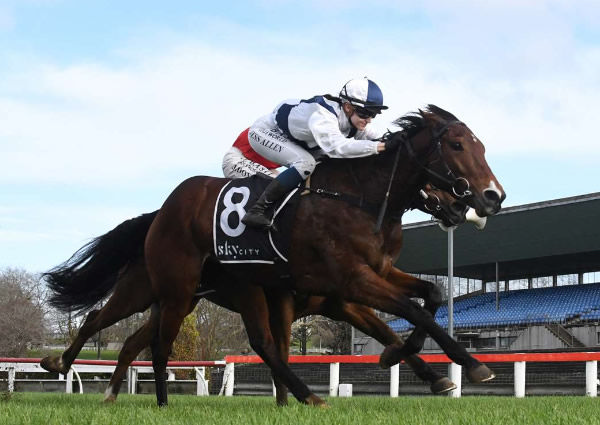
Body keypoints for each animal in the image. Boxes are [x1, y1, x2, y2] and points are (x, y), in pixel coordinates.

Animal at [43, 184, 464, 402]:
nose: (458, 205)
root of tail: (154, 221)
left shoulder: (341, 303)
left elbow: (387, 331)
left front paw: (433, 375)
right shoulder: (314, 300)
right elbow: (280, 346)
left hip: (176, 301)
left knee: (132, 342)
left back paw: (111, 393)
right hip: (143, 292)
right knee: (96, 319)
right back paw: (60, 362)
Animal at [143, 105, 504, 404]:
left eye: (482, 148)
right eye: (456, 146)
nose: (492, 197)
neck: (358, 197)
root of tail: (167, 205)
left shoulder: (374, 275)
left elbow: (431, 295)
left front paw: (407, 360)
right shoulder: (351, 281)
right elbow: (411, 311)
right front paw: (472, 365)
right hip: (183, 290)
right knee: (166, 346)